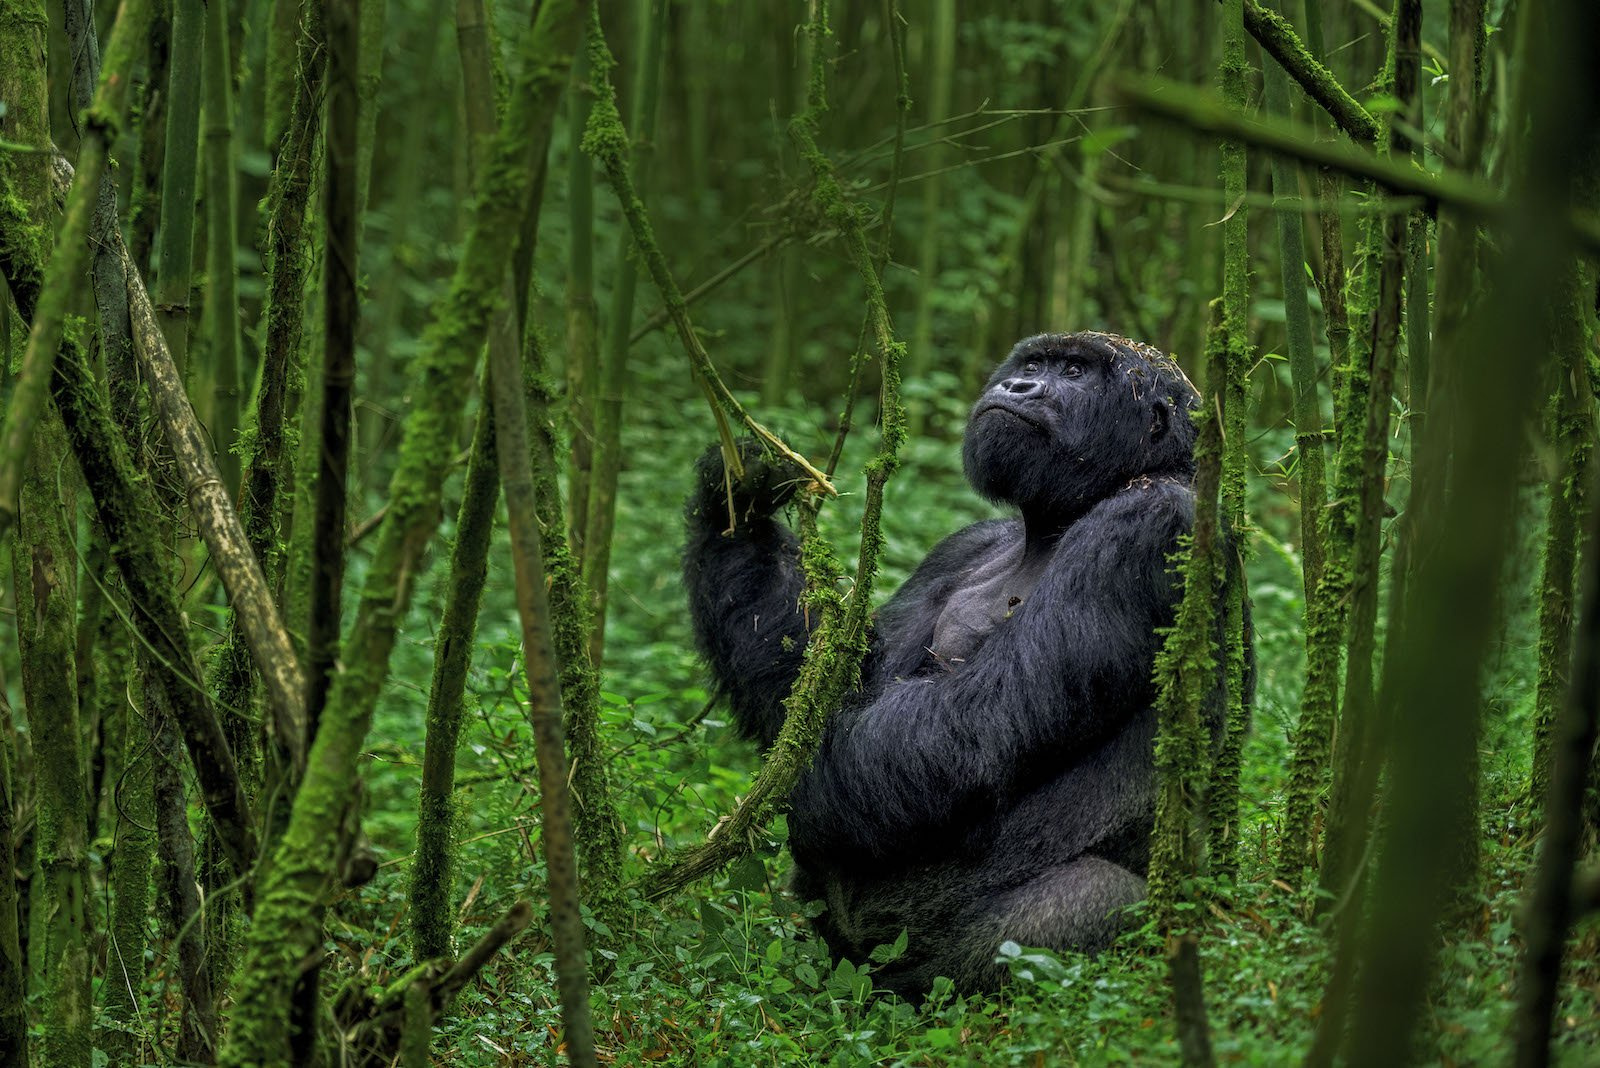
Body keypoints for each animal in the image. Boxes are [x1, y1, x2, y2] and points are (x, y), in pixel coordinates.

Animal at [681, 329, 1216, 997]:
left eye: (1073, 372)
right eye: (1034, 364)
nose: (1018, 385)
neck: (1054, 521)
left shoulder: (1150, 527)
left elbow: (973, 729)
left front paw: (789, 794)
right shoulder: (962, 545)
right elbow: (814, 687)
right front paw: (739, 493)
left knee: (1095, 899)